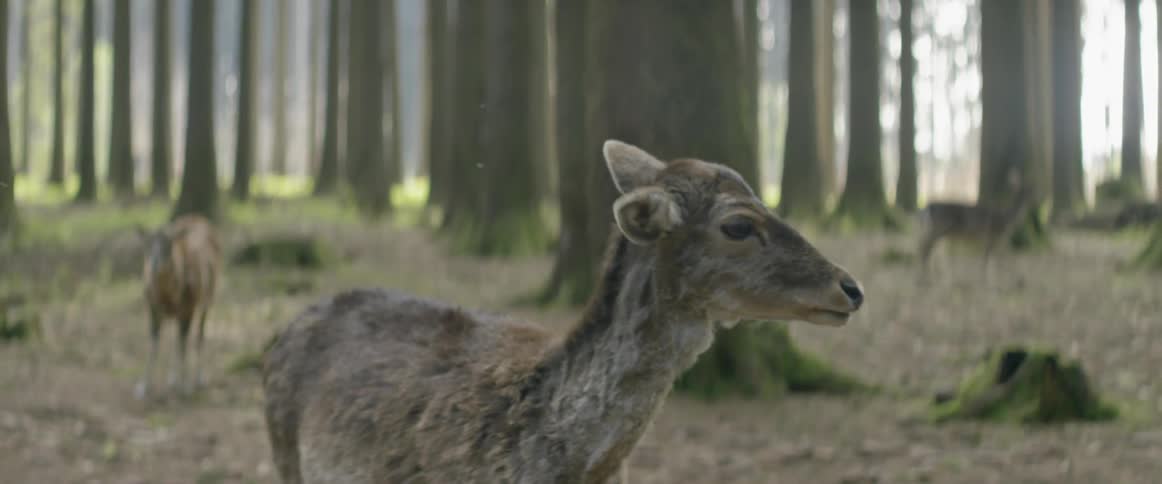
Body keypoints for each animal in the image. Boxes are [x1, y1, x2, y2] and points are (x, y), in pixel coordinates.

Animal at [135, 214, 222, 399]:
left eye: (168, 245)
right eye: (147, 245)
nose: (154, 265)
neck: (168, 295)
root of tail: (199, 218)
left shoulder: (188, 309)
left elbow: (183, 345)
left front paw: (185, 389)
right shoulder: (153, 308)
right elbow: (153, 345)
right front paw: (143, 388)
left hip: (207, 299)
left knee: (198, 335)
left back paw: (198, 379)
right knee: (178, 337)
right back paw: (172, 379)